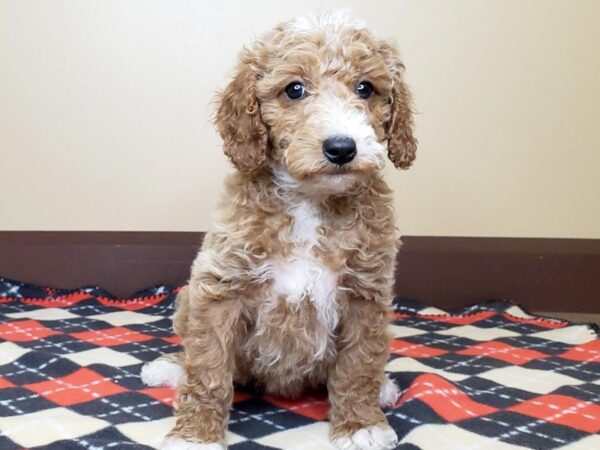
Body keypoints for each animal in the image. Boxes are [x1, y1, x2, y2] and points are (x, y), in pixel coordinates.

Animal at [142, 10, 418, 450]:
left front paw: (360, 424)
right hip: (188, 299)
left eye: (366, 88)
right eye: (294, 90)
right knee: (193, 353)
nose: (342, 148)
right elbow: (208, 367)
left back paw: (383, 388)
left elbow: (358, 364)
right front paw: (196, 435)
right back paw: (170, 368)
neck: (310, 201)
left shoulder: (366, 293)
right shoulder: (221, 286)